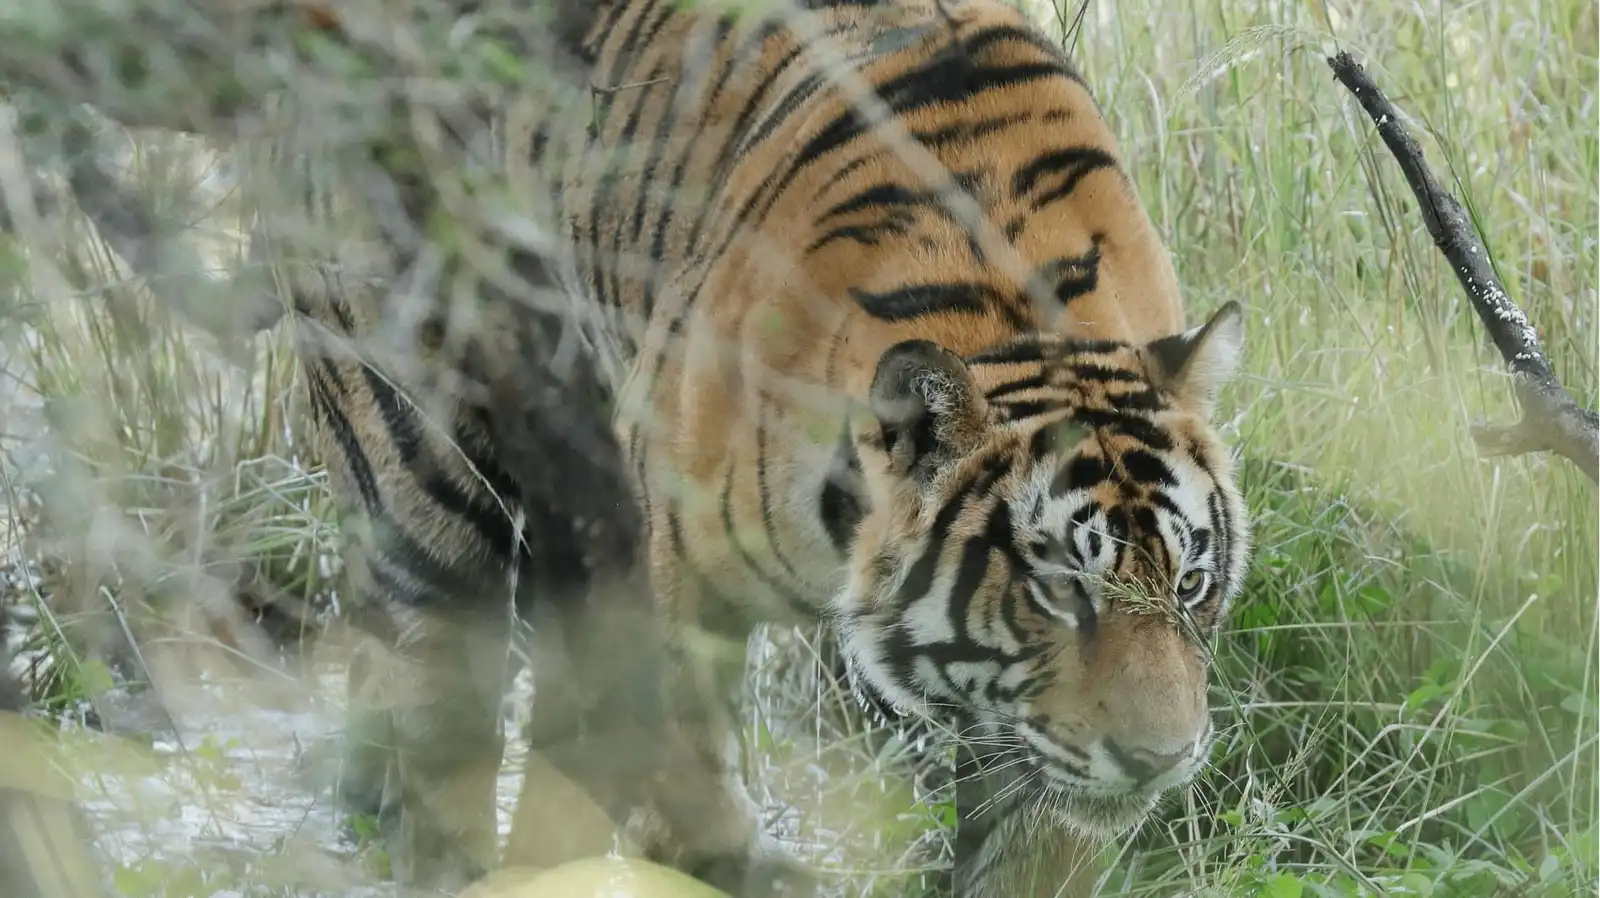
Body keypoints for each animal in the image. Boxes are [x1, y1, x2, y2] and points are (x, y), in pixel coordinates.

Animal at [245, 0, 1254, 894]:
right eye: (1058, 592)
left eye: (1192, 585)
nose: (1159, 759)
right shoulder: (664, 571)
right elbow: (673, 772)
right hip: (421, 441)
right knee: (441, 704)